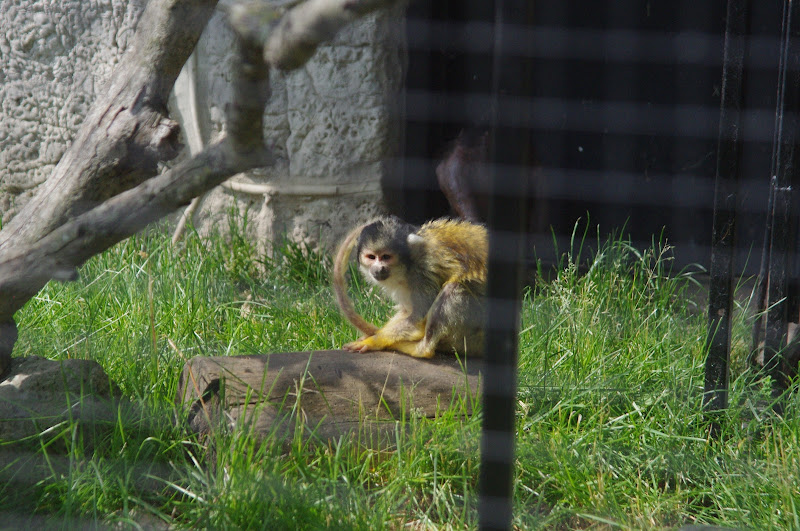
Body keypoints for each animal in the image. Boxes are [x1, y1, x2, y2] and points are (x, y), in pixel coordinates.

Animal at [333, 215, 488, 359]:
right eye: (372, 257)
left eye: (386, 257)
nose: (378, 268)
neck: (407, 265)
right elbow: (407, 311)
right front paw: (378, 334)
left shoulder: (421, 272)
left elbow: (417, 318)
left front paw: (374, 341)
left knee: (454, 288)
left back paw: (421, 349)